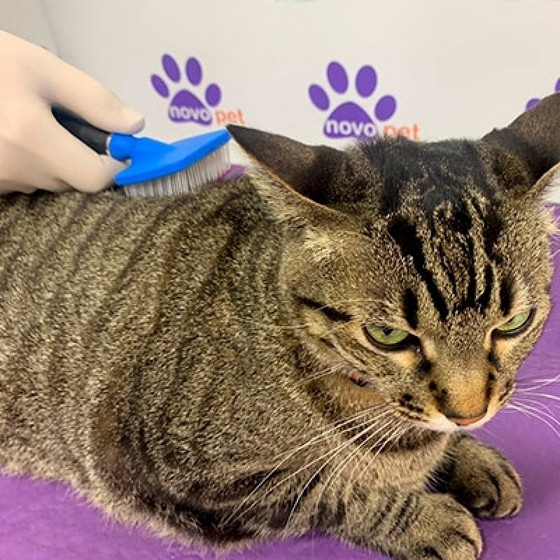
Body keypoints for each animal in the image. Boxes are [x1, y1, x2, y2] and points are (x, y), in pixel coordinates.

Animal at [0, 92, 556, 560]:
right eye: (389, 336)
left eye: (515, 323)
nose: (469, 414)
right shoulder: (183, 475)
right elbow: (335, 491)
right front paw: (425, 518)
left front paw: (471, 456)